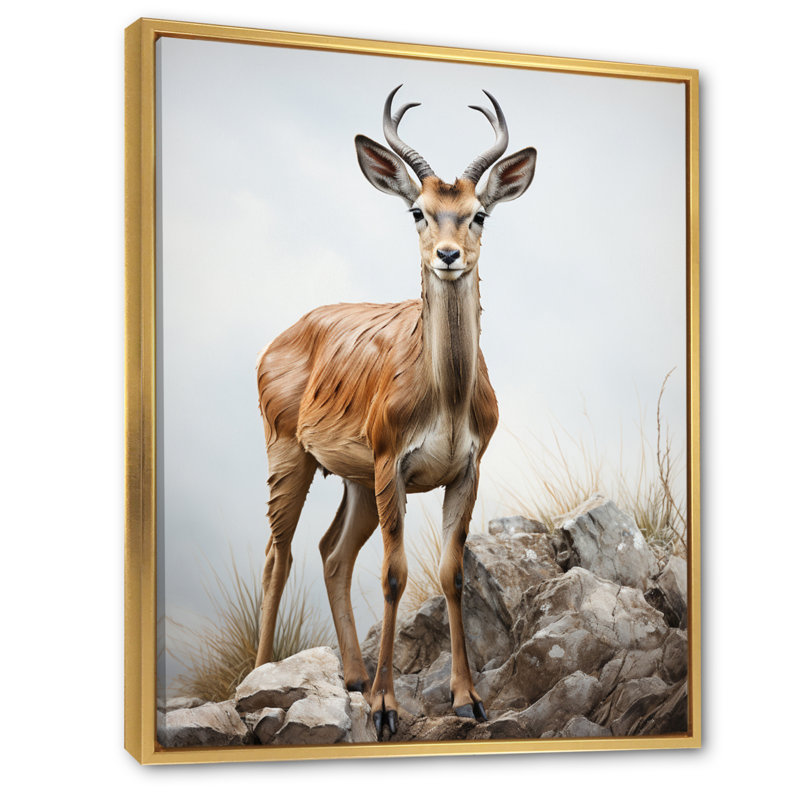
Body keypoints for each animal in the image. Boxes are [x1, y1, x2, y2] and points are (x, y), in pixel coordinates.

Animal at [254, 86, 536, 738]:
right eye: (418, 211)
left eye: (479, 213)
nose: (448, 256)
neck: (447, 399)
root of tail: (282, 337)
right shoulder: (394, 465)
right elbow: (393, 575)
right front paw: (386, 708)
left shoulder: (464, 471)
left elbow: (452, 574)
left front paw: (468, 699)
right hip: (291, 458)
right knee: (278, 554)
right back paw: (259, 679)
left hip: (356, 481)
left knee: (331, 554)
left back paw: (355, 679)